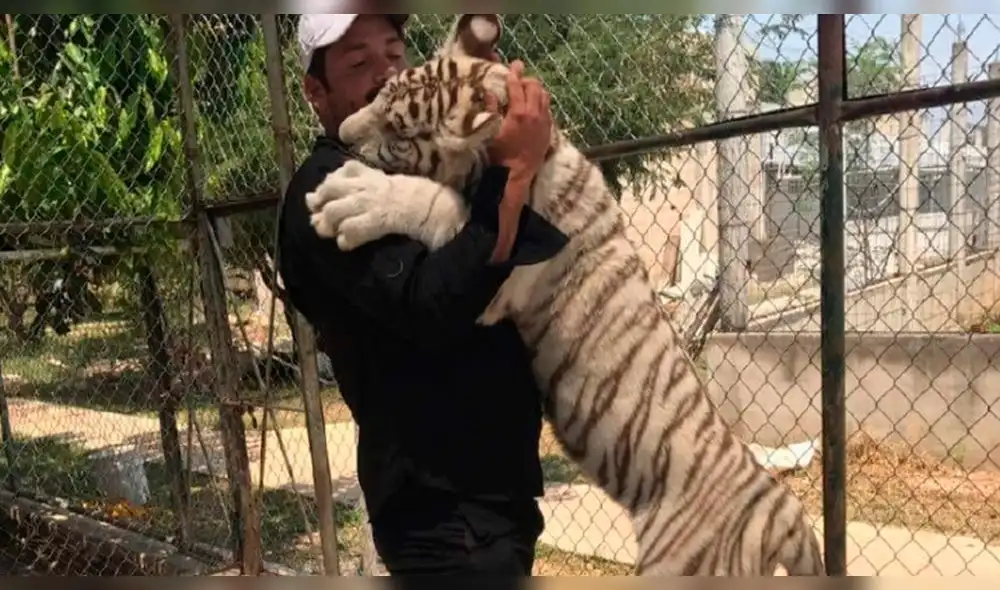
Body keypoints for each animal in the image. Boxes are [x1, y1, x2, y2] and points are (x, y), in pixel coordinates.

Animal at [305, 14, 826, 577]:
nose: (341, 137)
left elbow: (433, 202)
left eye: (399, 132)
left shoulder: (504, 268)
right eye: (377, 93)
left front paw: (350, 198)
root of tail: (783, 511)